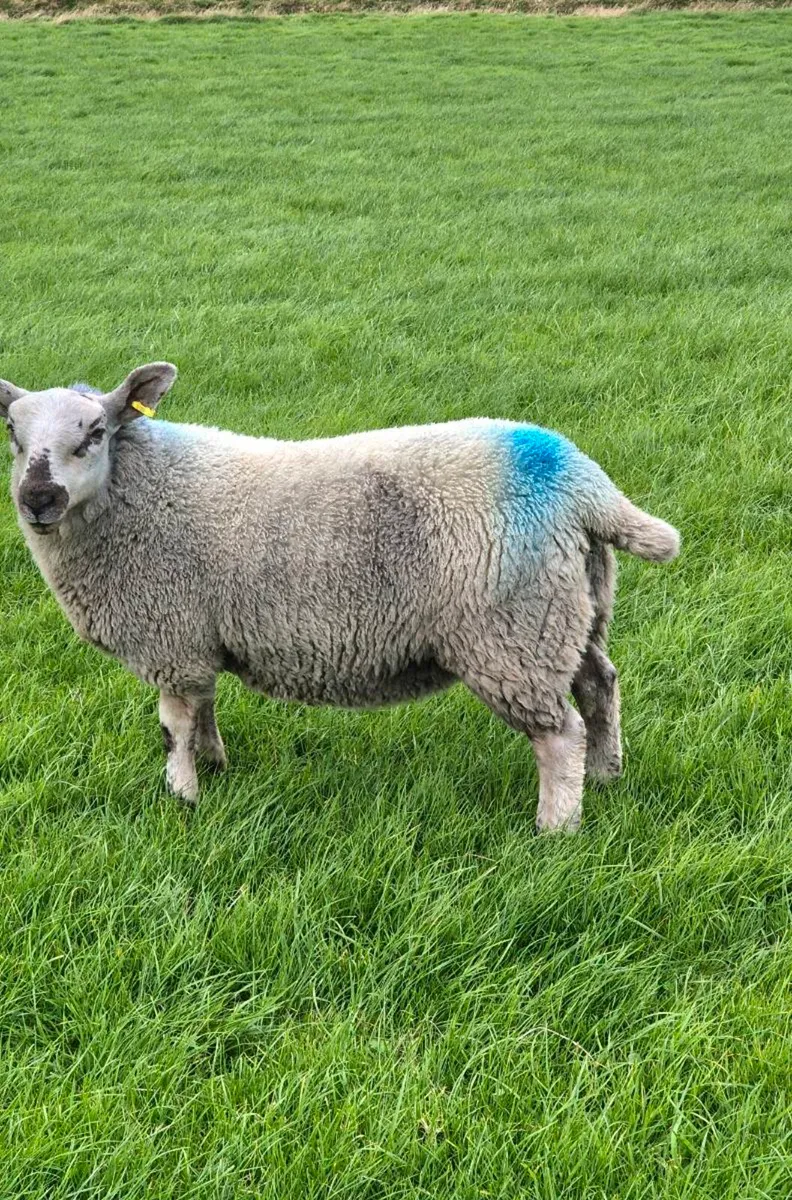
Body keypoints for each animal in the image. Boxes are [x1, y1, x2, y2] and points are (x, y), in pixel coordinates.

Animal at [0, 363, 680, 831]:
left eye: (95, 432)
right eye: (11, 432)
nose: (38, 498)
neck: (140, 491)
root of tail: (579, 481)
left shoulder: (170, 638)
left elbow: (174, 727)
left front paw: (183, 798)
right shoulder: (197, 639)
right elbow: (204, 709)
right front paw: (216, 767)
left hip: (513, 635)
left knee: (559, 732)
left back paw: (556, 827)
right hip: (572, 610)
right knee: (599, 687)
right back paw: (607, 776)